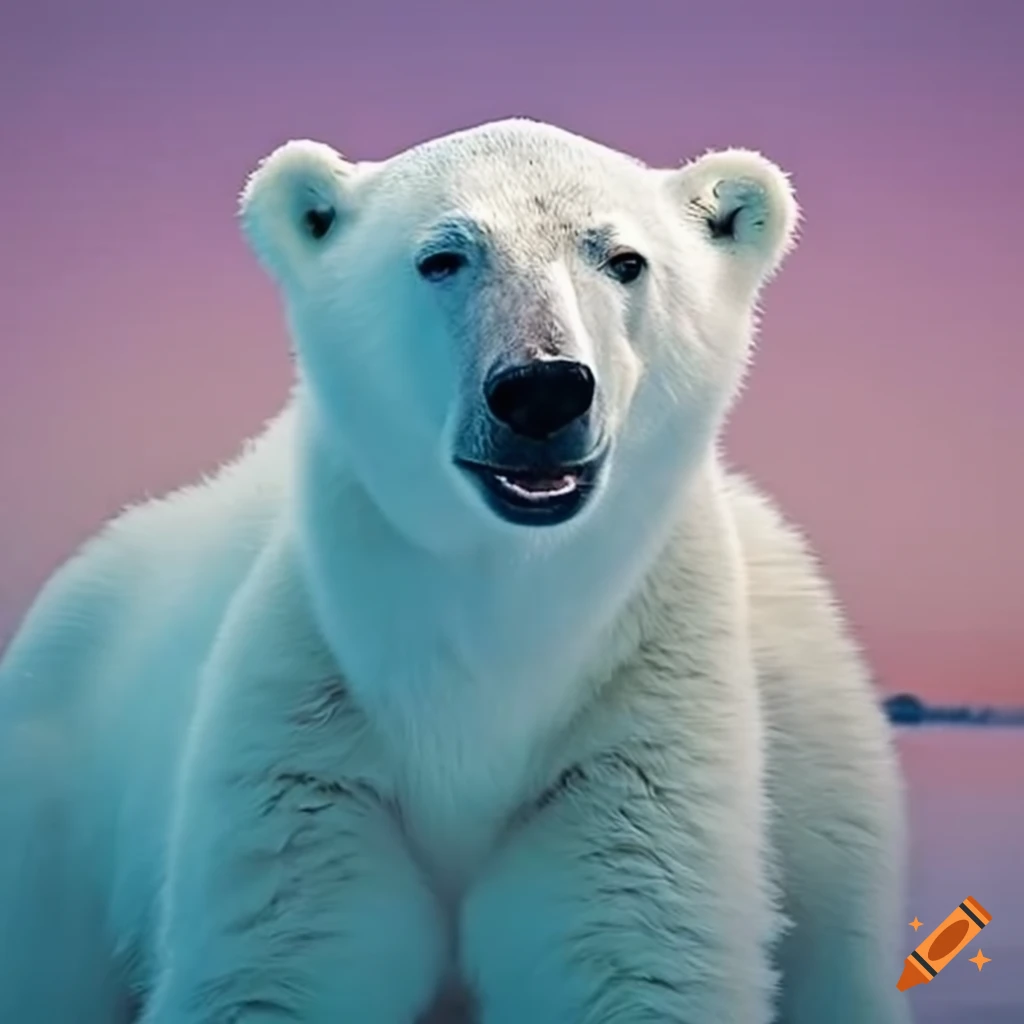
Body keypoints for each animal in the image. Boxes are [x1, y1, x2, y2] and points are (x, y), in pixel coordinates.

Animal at [0, 118, 910, 1024]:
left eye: (624, 259)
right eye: (442, 257)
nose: (543, 389)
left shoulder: (637, 738)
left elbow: (635, 956)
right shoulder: (308, 747)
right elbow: (283, 966)